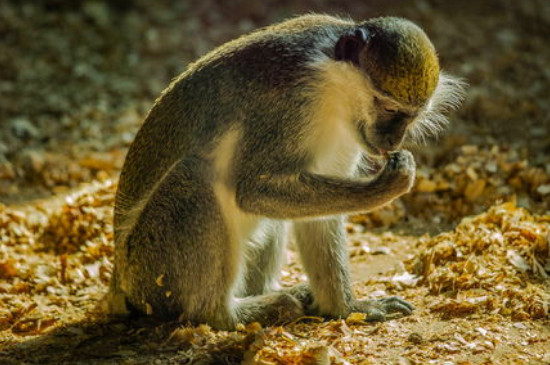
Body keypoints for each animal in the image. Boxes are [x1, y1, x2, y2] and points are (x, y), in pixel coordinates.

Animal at [105, 14, 464, 328]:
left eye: (411, 116)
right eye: (388, 108)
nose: (393, 140)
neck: (332, 83)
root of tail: (121, 285)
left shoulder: (347, 132)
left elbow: (320, 217)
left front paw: (347, 308)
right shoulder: (289, 104)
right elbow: (253, 190)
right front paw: (383, 187)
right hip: (152, 271)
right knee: (195, 177)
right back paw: (231, 313)